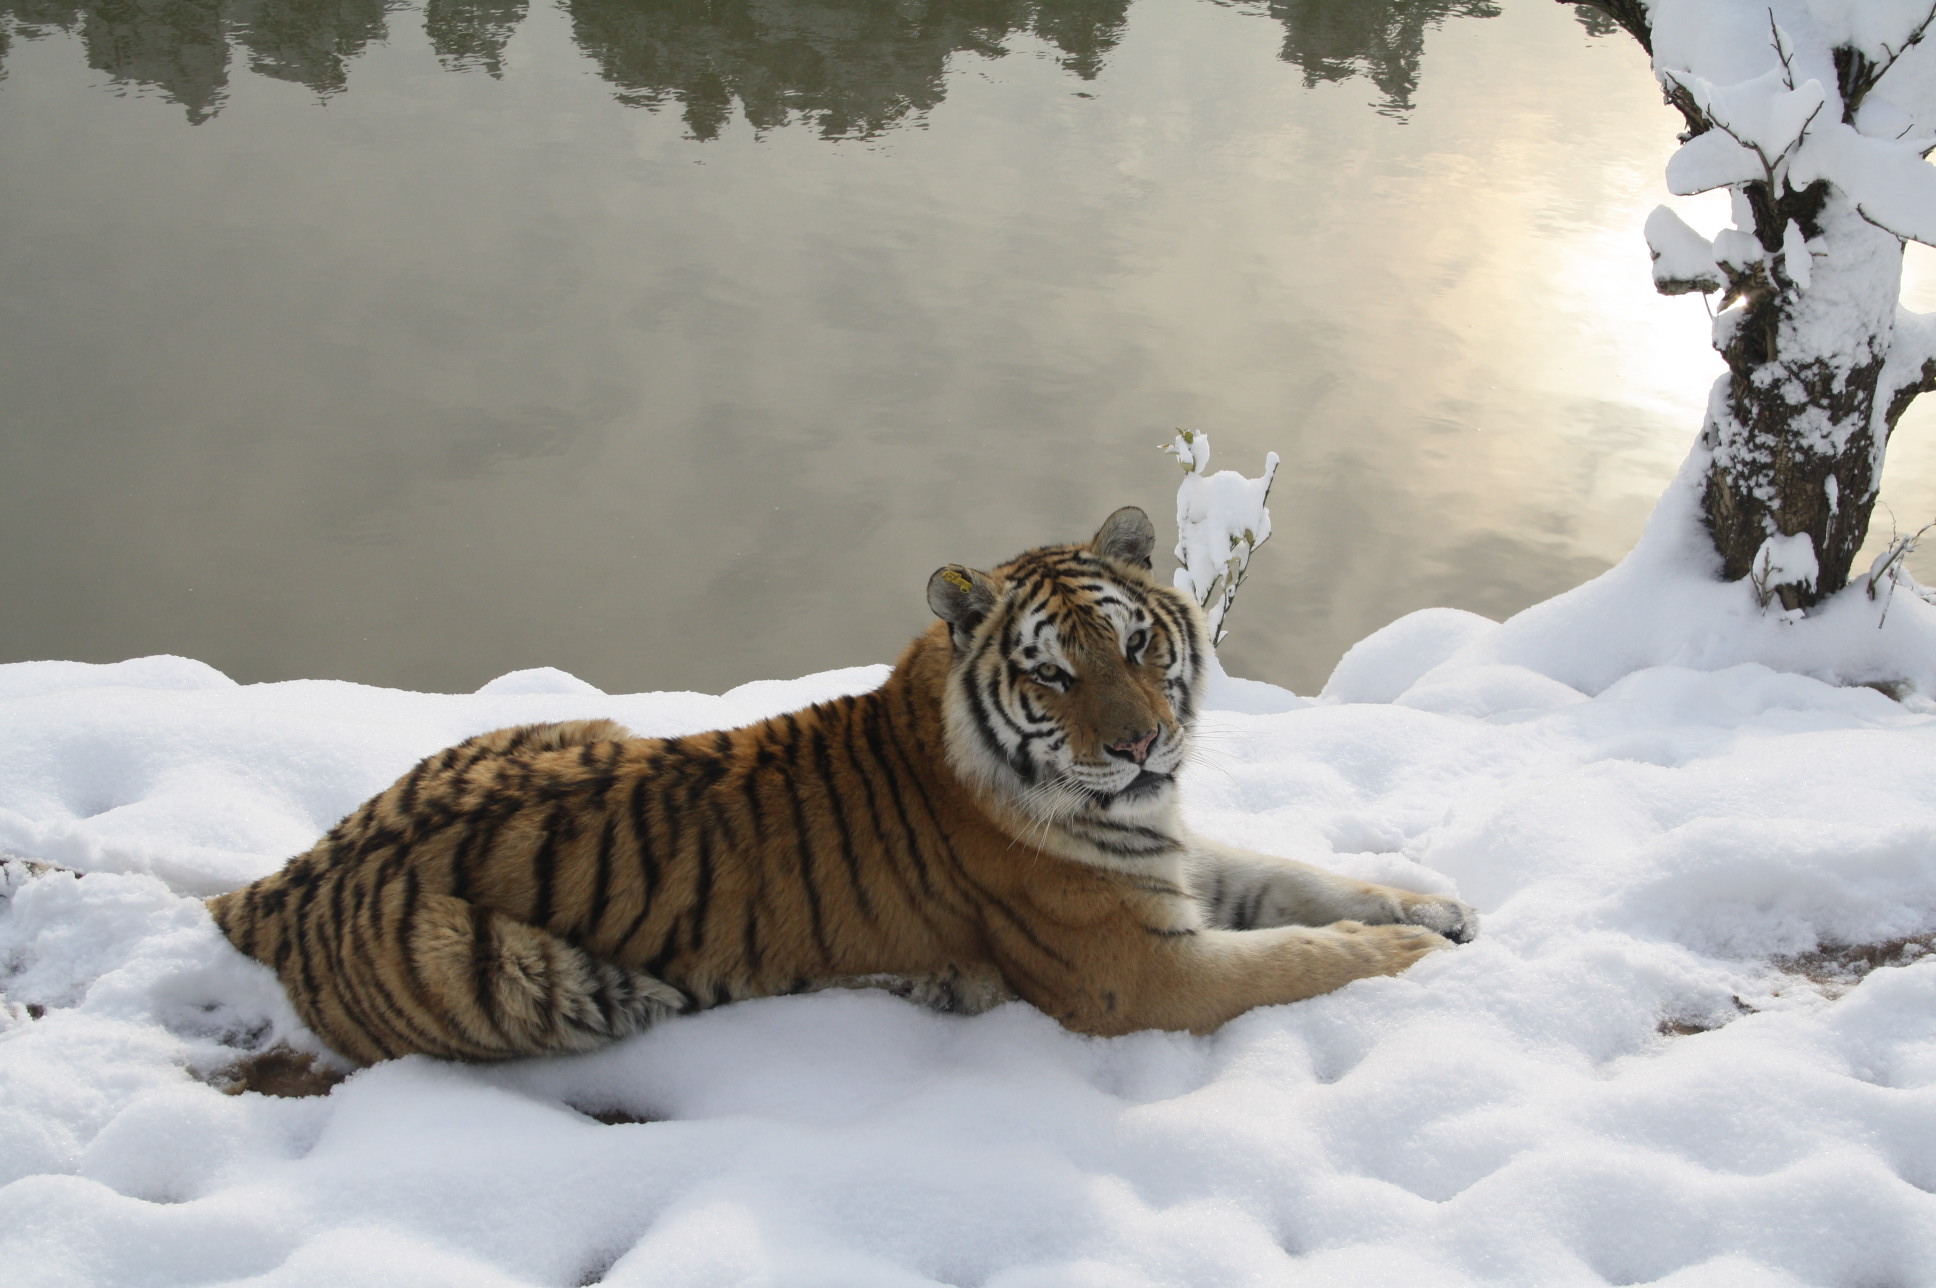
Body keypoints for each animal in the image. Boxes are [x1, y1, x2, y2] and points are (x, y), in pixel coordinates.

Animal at [208, 503, 1463, 1061]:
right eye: (1054, 673)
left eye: (1139, 644)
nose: (1144, 744)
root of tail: (286, 878)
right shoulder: (1139, 975)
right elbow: (1292, 958)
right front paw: (1403, 950)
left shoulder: (1171, 866)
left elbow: (1298, 882)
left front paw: (1434, 906)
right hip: (522, 975)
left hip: (566, 723)